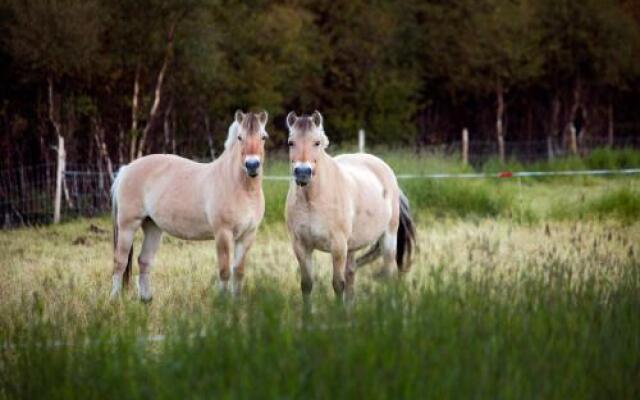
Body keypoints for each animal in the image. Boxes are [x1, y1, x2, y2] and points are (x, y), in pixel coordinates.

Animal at [110, 109, 268, 300]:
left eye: (263, 137)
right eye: (240, 137)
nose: (252, 165)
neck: (241, 189)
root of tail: (126, 169)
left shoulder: (247, 236)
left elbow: (238, 272)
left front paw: (236, 303)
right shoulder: (223, 234)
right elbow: (224, 271)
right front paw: (223, 303)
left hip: (153, 227)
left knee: (144, 261)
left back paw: (146, 300)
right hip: (128, 226)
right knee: (120, 261)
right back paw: (113, 300)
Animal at [284, 111, 416, 302]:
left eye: (316, 142)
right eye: (291, 142)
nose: (302, 173)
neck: (312, 200)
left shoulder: (338, 246)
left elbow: (338, 285)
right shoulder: (301, 246)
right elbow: (307, 285)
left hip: (388, 238)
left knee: (389, 274)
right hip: (352, 246)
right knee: (351, 273)